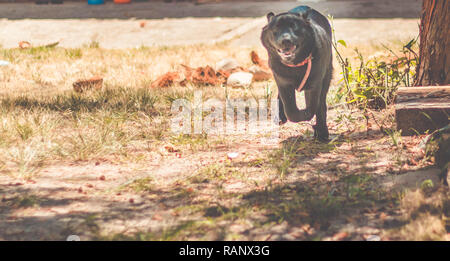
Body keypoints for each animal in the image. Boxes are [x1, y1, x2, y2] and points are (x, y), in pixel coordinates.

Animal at [262, 5, 332, 140]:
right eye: (276, 29)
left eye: (294, 26)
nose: (285, 40)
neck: (296, 66)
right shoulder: (283, 82)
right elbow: (290, 110)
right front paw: (290, 115)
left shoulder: (314, 83)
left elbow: (312, 107)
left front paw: (309, 119)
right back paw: (281, 117)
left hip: (326, 77)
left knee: (321, 105)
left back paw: (322, 133)